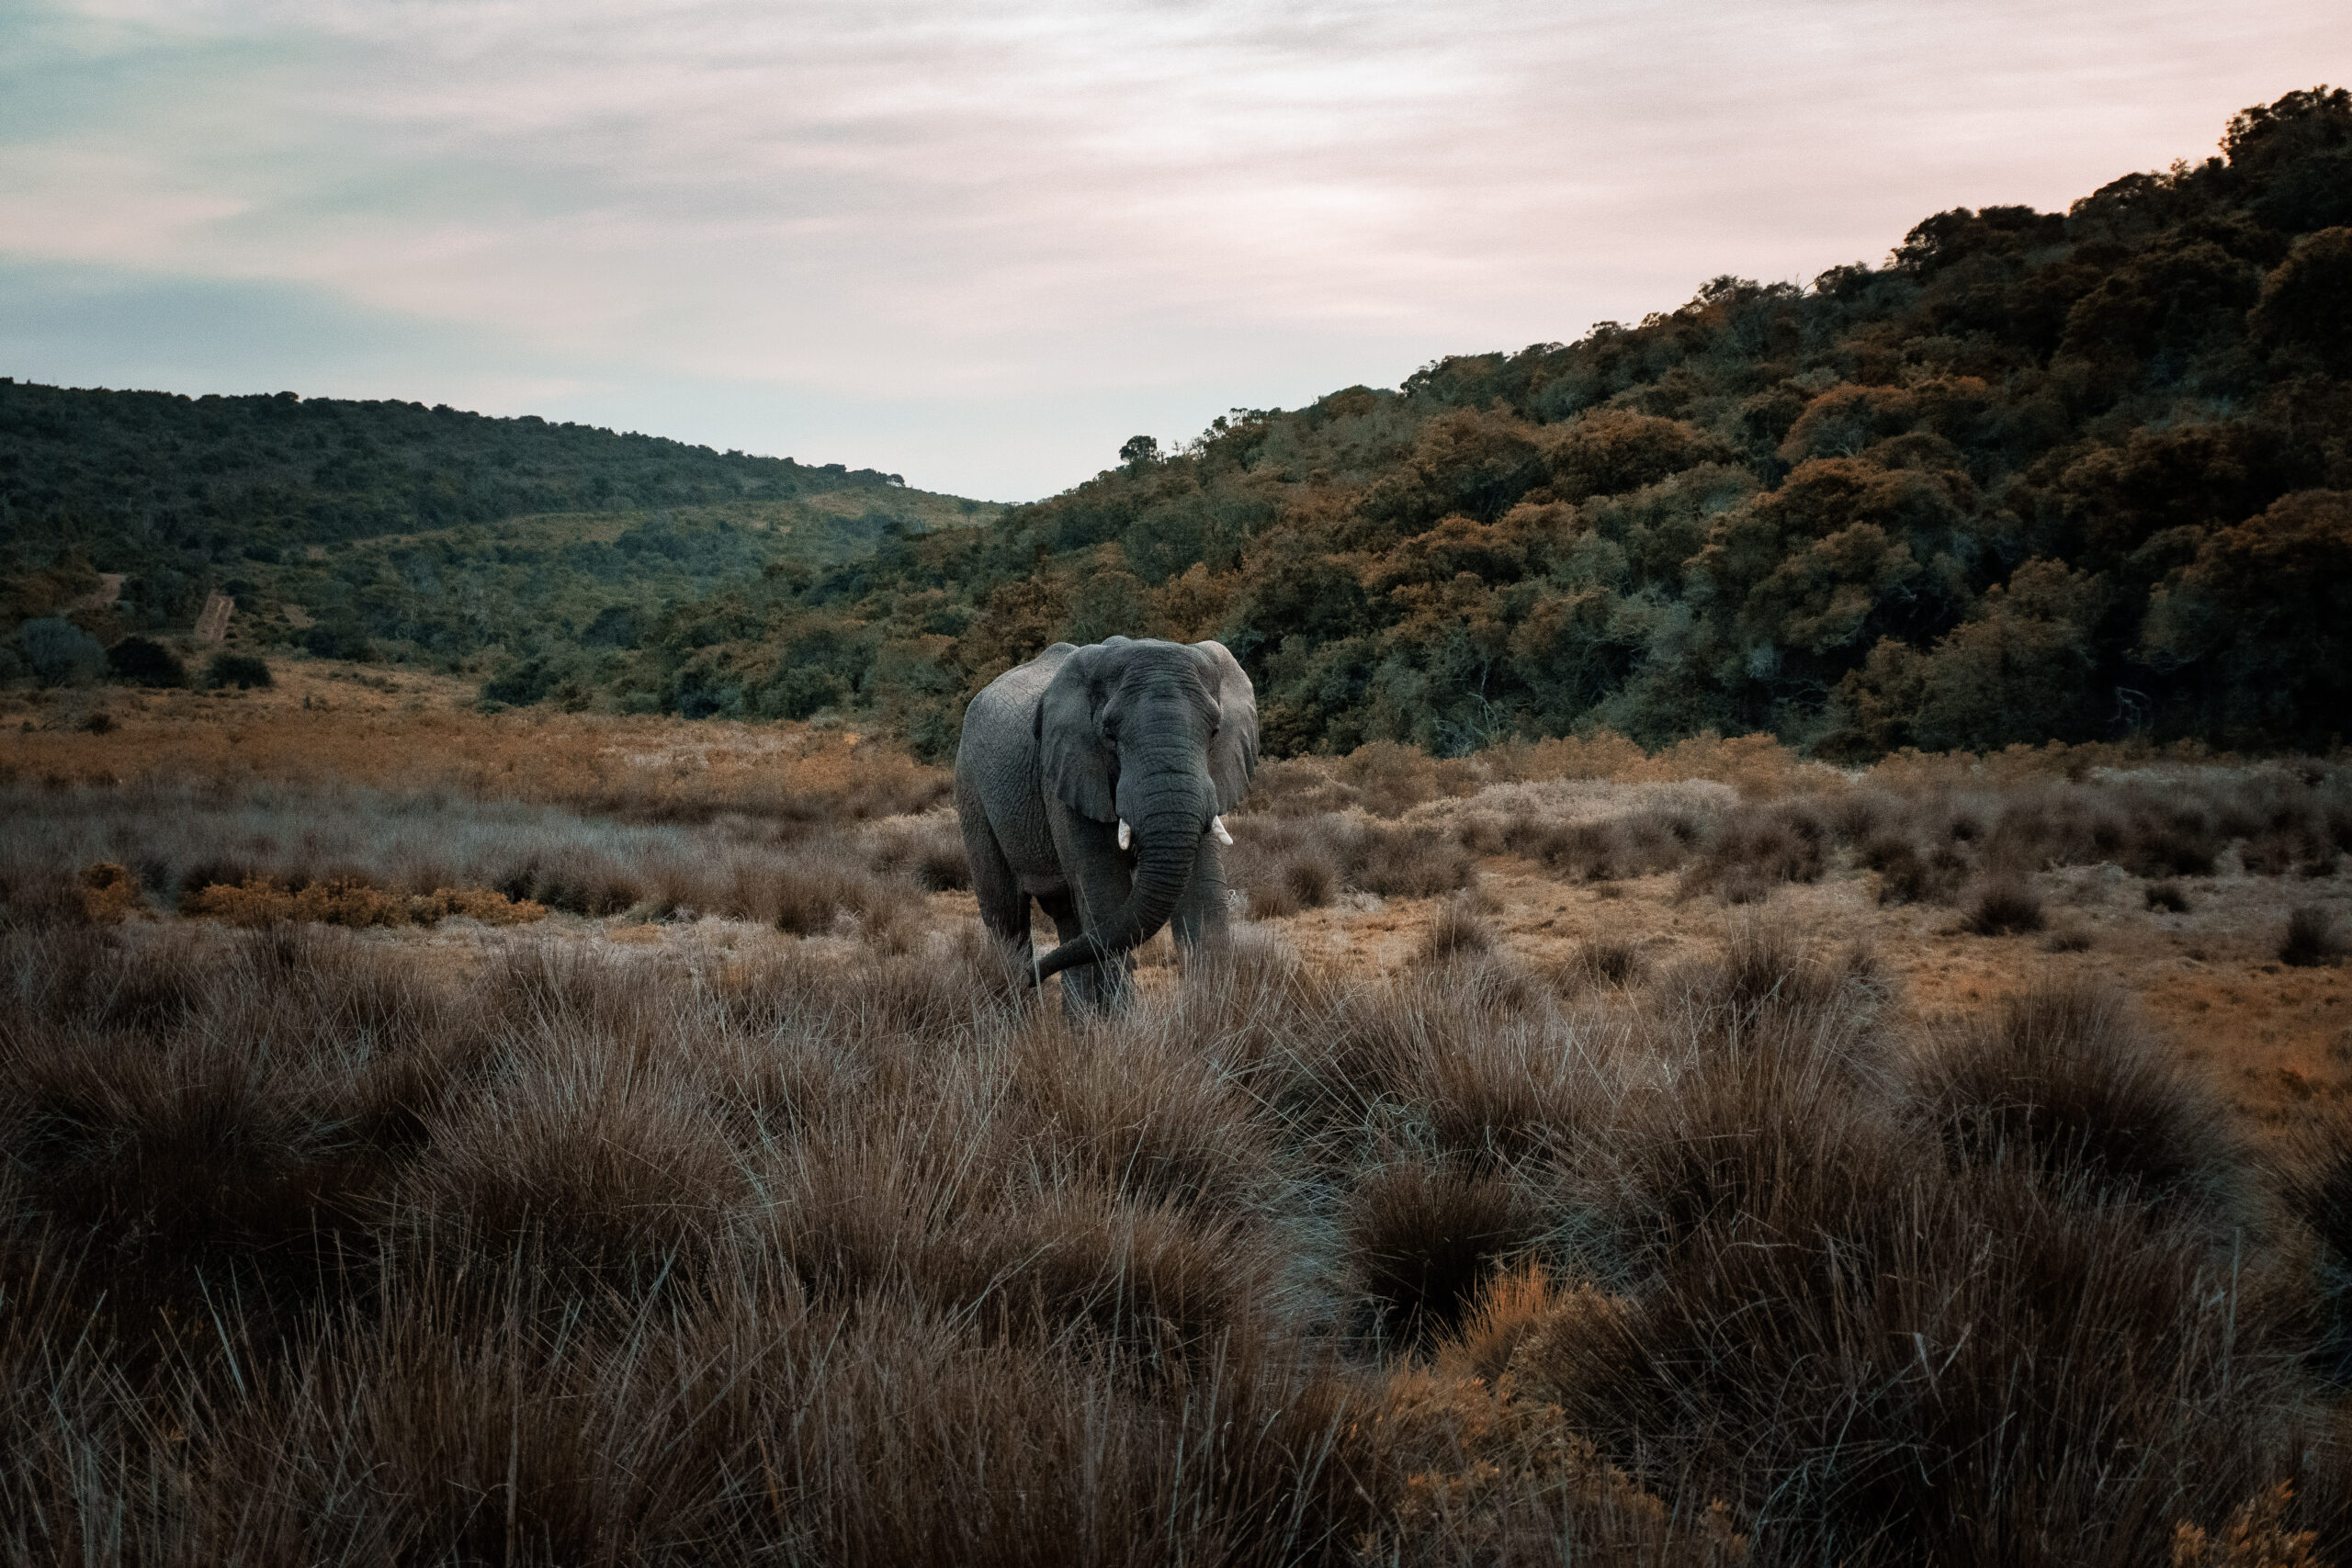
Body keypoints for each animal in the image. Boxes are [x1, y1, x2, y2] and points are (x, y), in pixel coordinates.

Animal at [955, 636, 1259, 1010]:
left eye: (1215, 731)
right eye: (1109, 734)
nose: (1034, 977)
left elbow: (1202, 898)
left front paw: (1213, 1015)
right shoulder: (1068, 770)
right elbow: (1106, 897)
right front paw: (1124, 1026)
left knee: (1068, 919)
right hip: (970, 787)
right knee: (1006, 916)